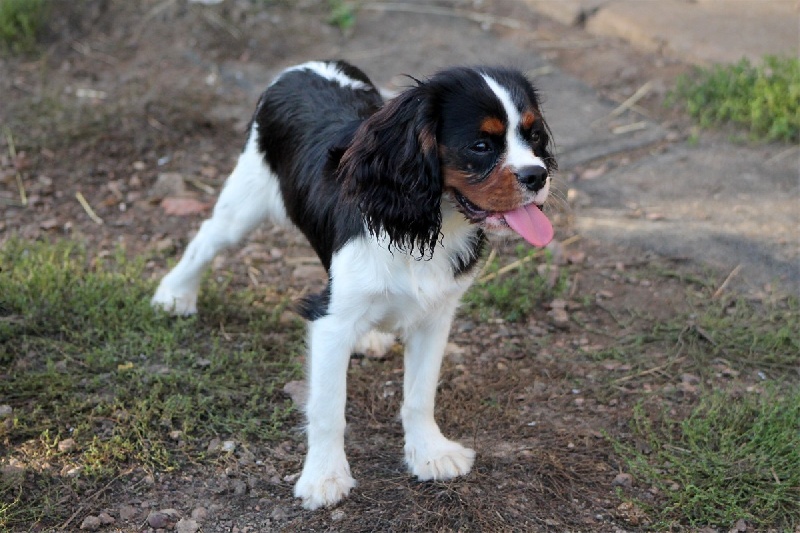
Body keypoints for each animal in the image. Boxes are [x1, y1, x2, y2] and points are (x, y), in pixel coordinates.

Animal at [152, 60, 556, 510]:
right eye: (481, 146)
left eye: (534, 136)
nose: (537, 176)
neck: (429, 222)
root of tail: (305, 66)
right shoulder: (331, 321)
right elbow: (328, 408)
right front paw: (325, 477)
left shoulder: (435, 317)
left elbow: (420, 394)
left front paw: (430, 453)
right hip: (246, 198)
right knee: (208, 238)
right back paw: (175, 294)